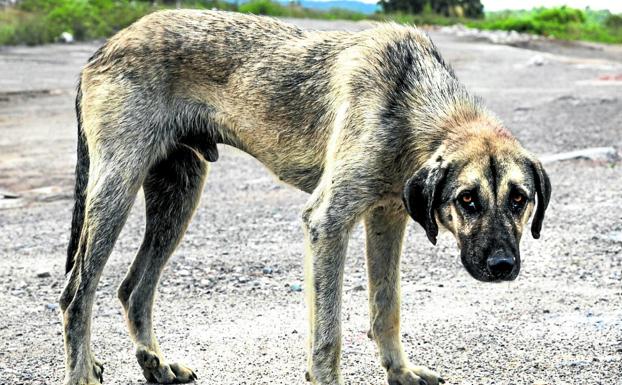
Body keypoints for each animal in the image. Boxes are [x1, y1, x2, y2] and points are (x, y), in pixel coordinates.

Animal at [61, 8, 552, 384]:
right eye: (467, 199)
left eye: (519, 199)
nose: (502, 266)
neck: (411, 99)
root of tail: (102, 49)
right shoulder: (327, 223)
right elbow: (328, 334)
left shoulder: (386, 218)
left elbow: (386, 307)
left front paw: (399, 372)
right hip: (116, 191)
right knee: (76, 293)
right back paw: (83, 372)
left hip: (177, 196)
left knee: (133, 288)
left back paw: (156, 364)